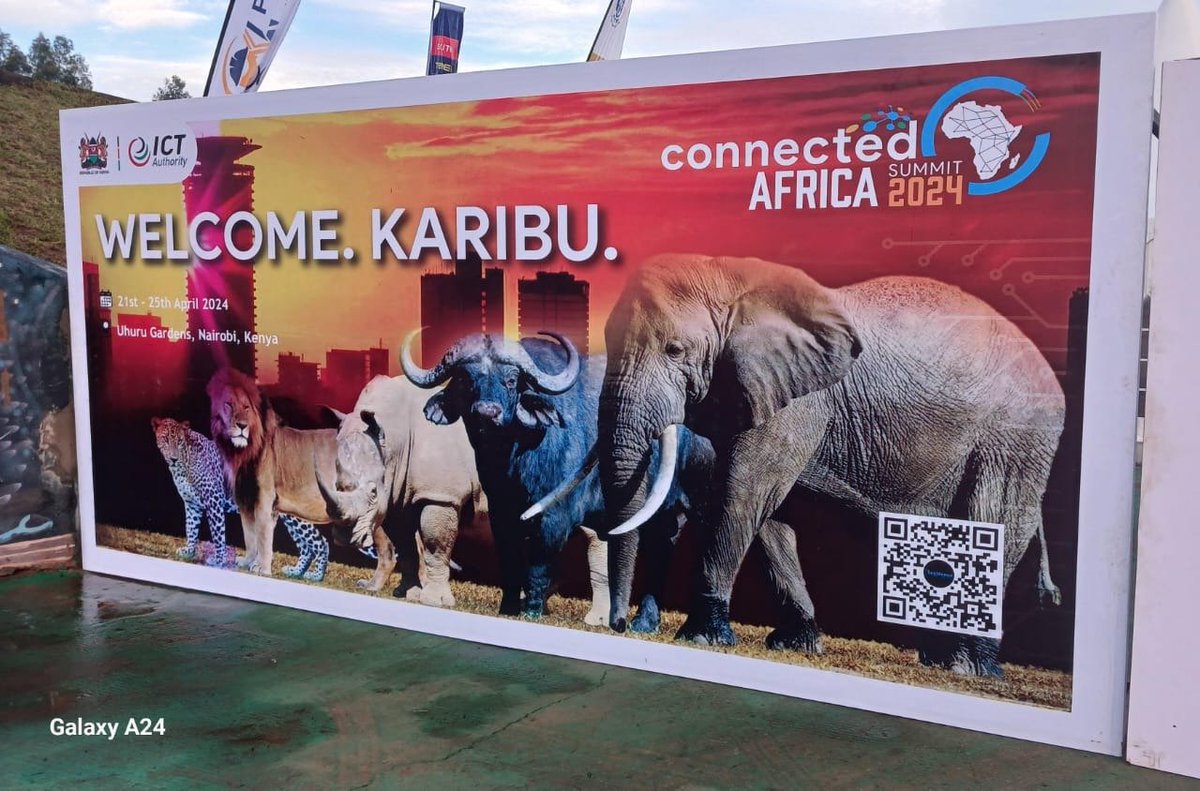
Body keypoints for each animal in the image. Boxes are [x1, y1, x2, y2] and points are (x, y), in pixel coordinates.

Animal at [205, 367, 393, 578]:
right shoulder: (246, 499)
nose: (241, 425)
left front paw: (262, 569)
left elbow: (262, 536)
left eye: (246, 407)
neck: (241, 451)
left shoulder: (264, 499)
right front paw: (248, 562)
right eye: (229, 404)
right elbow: (250, 536)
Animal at [319, 372, 492, 607]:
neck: (392, 439)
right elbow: (405, 544)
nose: (344, 537)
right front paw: (407, 594)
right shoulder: (397, 493)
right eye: (337, 486)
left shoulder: (441, 495)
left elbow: (435, 545)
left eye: (373, 493)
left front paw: (435, 601)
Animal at [595, 256, 1065, 676]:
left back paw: (968, 667)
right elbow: (771, 511)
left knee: (992, 523)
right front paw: (796, 645)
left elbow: (745, 490)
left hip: (1016, 437)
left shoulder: (797, 401)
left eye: (675, 350)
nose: (618, 627)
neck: (730, 280)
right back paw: (939, 659)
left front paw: (703, 638)